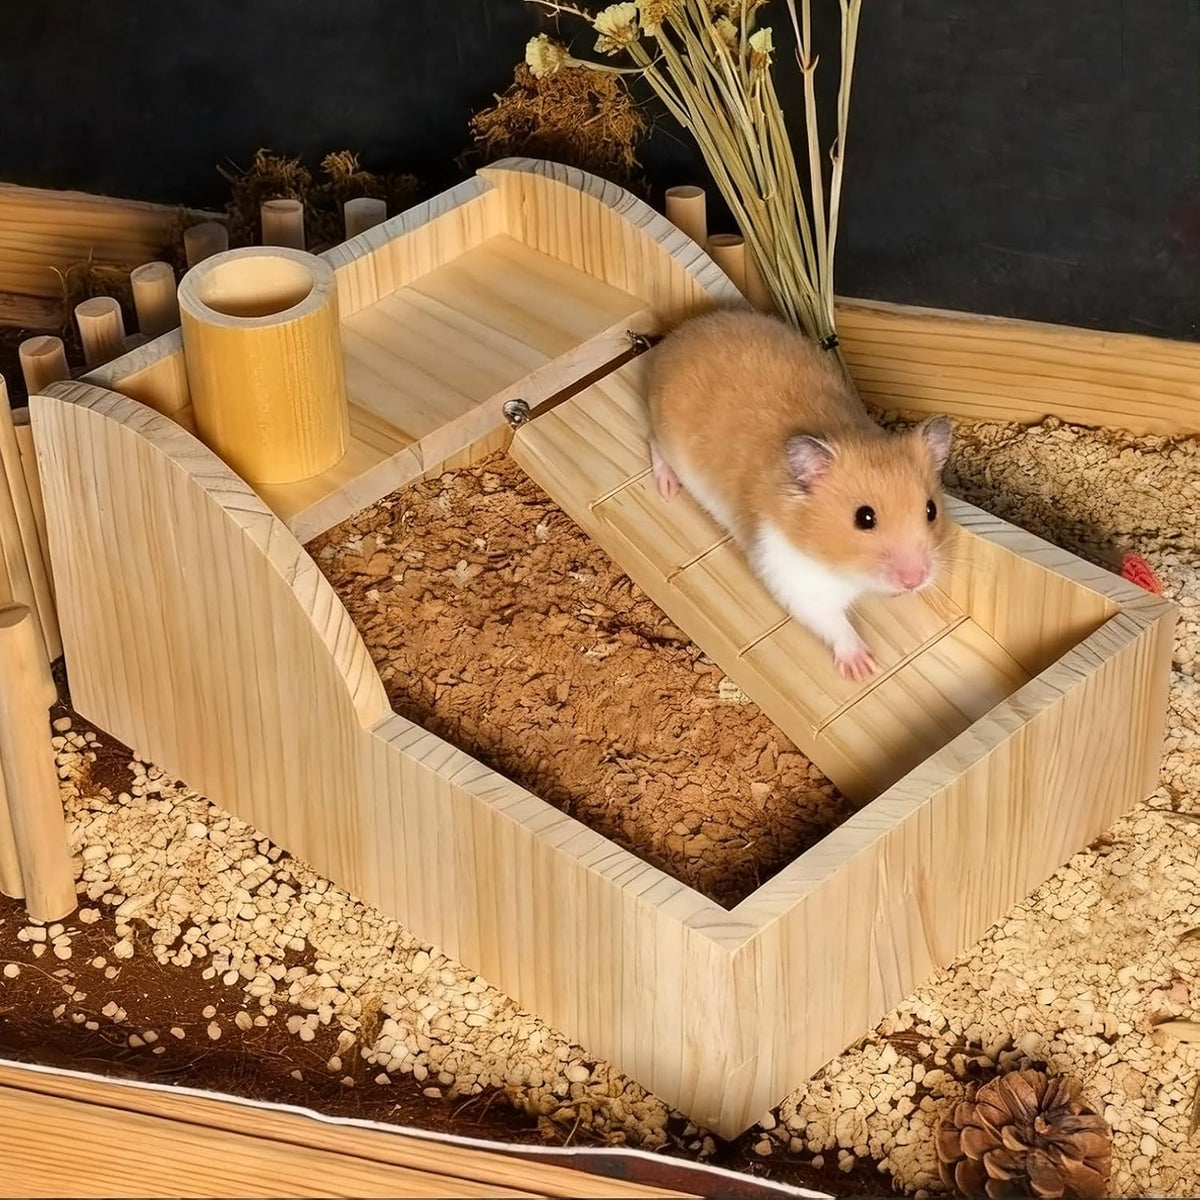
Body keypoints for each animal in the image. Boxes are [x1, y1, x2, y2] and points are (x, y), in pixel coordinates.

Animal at [646, 309, 953, 682]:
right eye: (864, 517)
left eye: (931, 510)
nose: (914, 581)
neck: (846, 569)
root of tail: (678, 334)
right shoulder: (794, 576)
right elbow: (831, 621)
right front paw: (864, 669)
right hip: (668, 439)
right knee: (653, 443)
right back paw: (667, 488)